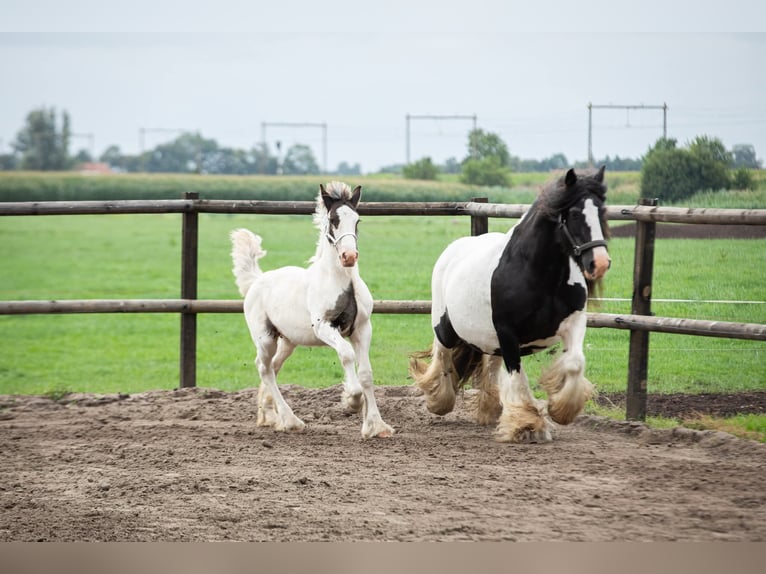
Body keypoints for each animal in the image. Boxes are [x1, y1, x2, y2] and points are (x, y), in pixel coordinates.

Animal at [230, 181, 394, 439]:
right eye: (334, 219)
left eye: (357, 220)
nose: (349, 256)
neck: (341, 281)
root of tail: (257, 280)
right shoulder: (324, 327)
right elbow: (346, 354)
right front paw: (352, 400)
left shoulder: (362, 328)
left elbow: (366, 374)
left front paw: (376, 426)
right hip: (265, 338)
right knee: (264, 368)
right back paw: (290, 420)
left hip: (287, 341)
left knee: (273, 367)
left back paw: (270, 417)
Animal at [410, 166, 610, 443]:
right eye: (573, 213)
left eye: (602, 210)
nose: (599, 263)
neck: (538, 275)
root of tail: (453, 249)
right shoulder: (508, 333)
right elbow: (517, 377)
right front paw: (527, 425)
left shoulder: (574, 322)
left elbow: (575, 362)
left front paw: (561, 411)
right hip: (446, 328)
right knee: (443, 356)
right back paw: (439, 401)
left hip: (490, 340)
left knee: (490, 366)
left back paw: (489, 409)